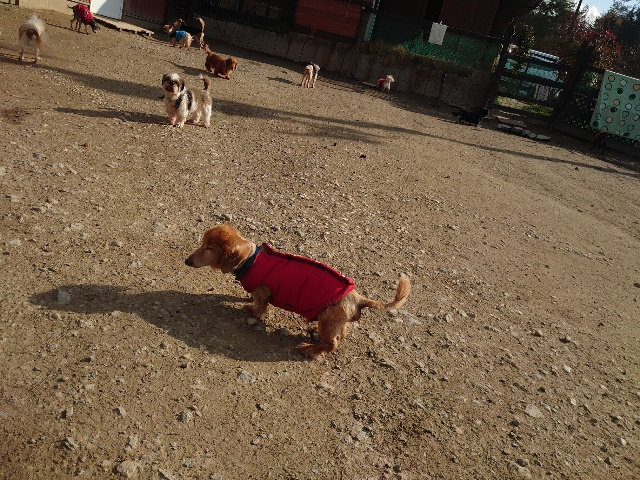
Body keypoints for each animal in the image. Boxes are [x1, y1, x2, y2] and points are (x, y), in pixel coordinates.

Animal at [185, 225, 411, 359]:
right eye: (202, 243)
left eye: (208, 248)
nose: (187, 261)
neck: (250, 260)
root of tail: (356, 298)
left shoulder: (264, 292)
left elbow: (259, 306)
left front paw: (250, 311)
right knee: (341, 333)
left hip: (326, 320)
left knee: (331, 344)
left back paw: (309, 349)